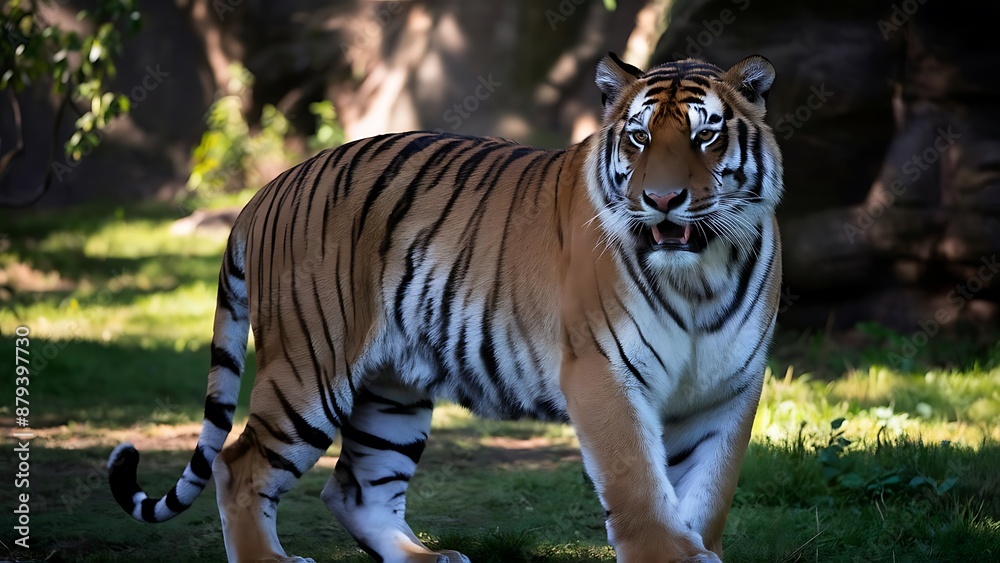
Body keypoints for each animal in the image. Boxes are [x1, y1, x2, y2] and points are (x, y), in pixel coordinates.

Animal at [108, 52, 782, 563]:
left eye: (704, 135)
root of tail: (270, 186)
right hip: (310, 368)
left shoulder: (728, 387)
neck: (700, 275)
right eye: (639, 137)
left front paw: (699, 545)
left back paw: (430, 558)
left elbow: (708, 493)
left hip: (390, 391)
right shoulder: (603, 371)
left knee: (354, 489)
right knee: (238, 464)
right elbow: (638, 485)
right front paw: (671, 554)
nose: (662, 199)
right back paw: (272, 560)